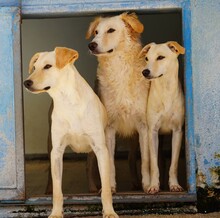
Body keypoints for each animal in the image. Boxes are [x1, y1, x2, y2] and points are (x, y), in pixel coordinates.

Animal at [23, 46, 117, 217]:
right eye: (34, 68)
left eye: (48, 66)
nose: (26, 82)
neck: (68, 101)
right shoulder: (57, 150)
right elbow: (57, 191)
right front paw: (55, 213)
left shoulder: (101, 149)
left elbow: (106, 188)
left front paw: (109, 212)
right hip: (50, 145)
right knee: (51, 175)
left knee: (89, 166)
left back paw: (92, 188)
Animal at [87, 12, 150, 192]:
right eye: (96, 32)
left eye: (111, 30)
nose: (91, 45)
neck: (119, 68)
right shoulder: (109, 128)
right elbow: (109, 162)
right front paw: (110, 188)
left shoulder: (143, 125)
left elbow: (146, 160)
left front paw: (148, 186)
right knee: (90, 163)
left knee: (131, 157)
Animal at [140, 41, 185, 194]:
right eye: (146, 58)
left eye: (160, 57)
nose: (145, 72)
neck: (166, 90)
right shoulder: (152, 132)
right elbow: (154, 164)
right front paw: (154, 185)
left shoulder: (178, 132)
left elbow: (174, 164)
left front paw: (174, 185)